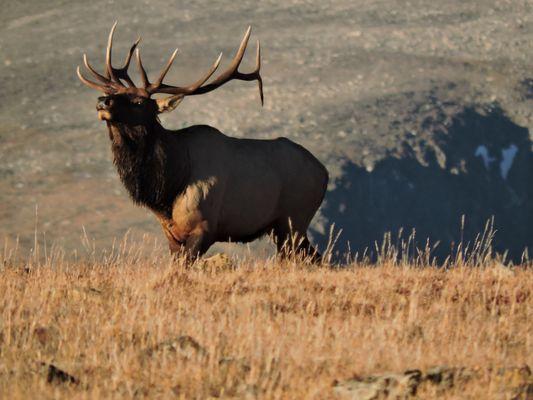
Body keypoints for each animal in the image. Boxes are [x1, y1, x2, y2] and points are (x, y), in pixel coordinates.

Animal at [76, 21, 326, 260]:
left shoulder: (205, 227)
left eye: (139, 102)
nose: (102, 101)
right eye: (115, 94)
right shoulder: (171, 234)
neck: (168, 186)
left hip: (294, 220)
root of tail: (323, 172)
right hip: (282, 227)